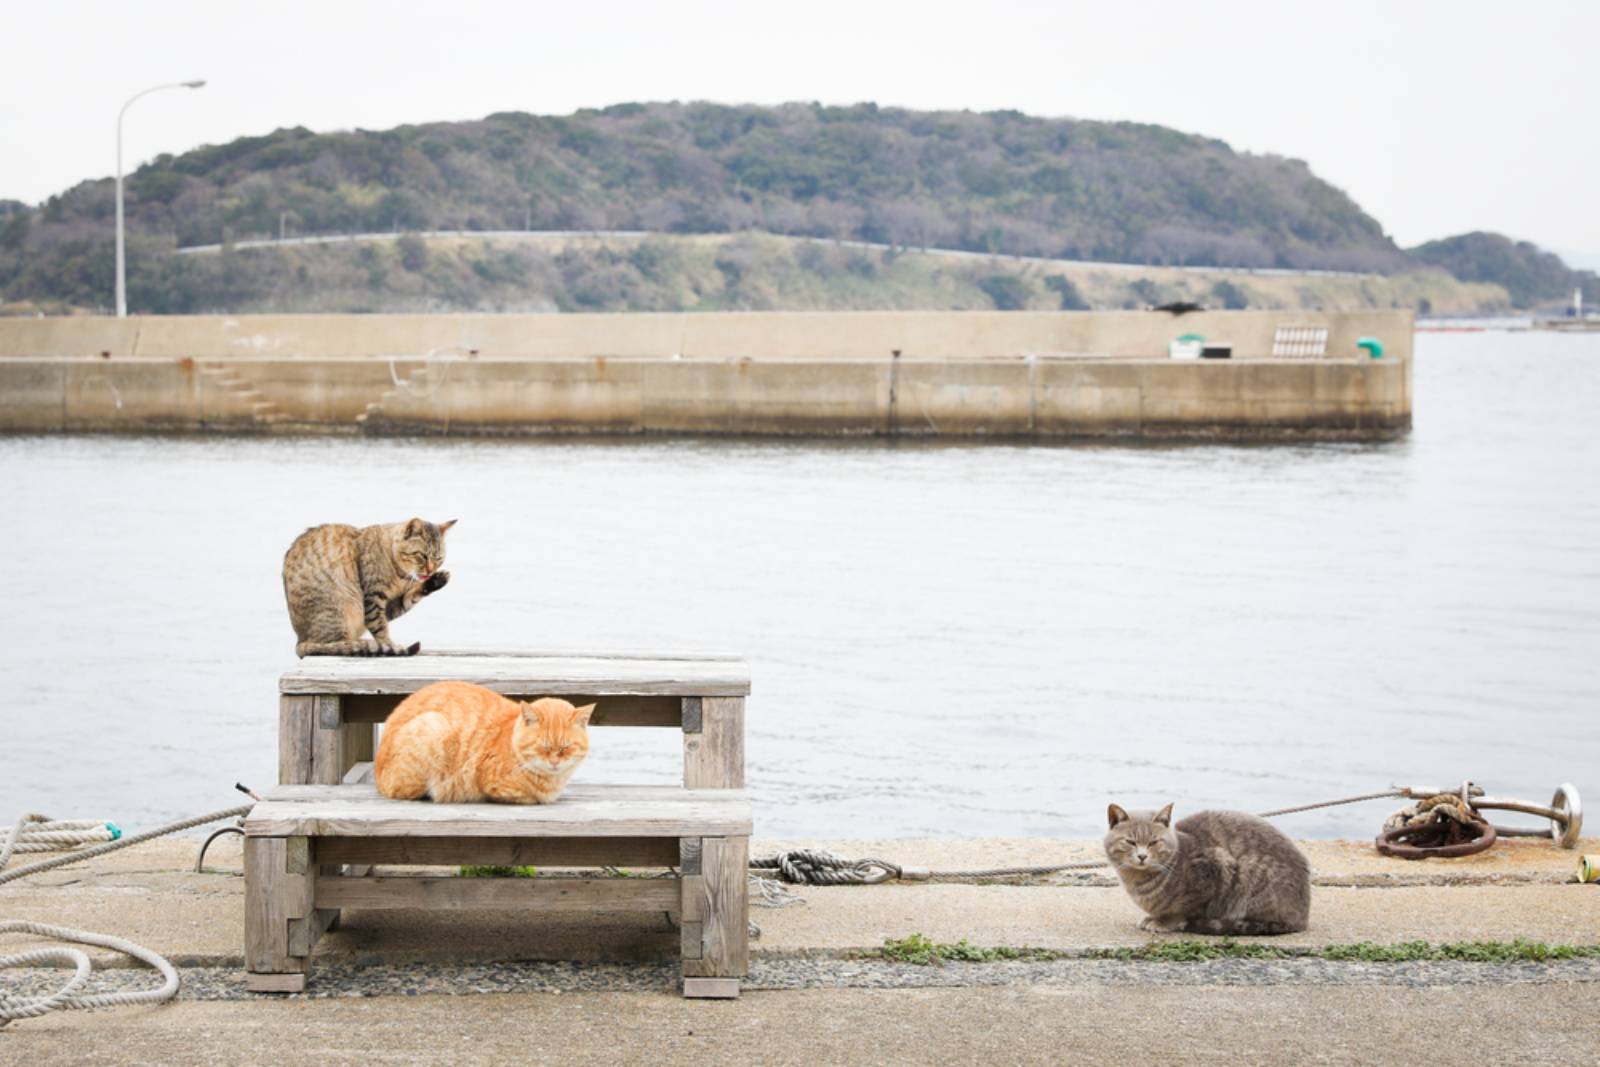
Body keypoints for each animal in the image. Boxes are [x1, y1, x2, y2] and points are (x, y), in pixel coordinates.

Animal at [281, 518, 454, 659]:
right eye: (422, 556)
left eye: (438, 558)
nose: (430, 571)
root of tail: (299, 640)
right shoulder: (373, 598)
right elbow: (380, 627)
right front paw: (388, 645)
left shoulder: (392, 604)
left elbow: (410, 598)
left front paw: (436, 581)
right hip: (338, 608)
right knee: (333, 645)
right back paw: (366, 645)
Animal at [374, 681, 595, 806]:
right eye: (544, 747)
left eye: (566, 748)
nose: (554, 763)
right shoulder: (496, 785)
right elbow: (529, 798)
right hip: (432, 727)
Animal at [1100, 799, 1312, 934]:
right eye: (1130, 842)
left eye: (1153, 842)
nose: (1142, 856)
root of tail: (1302, 917)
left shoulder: (1213, 871)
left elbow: (1182, 910)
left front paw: (1163, 922)